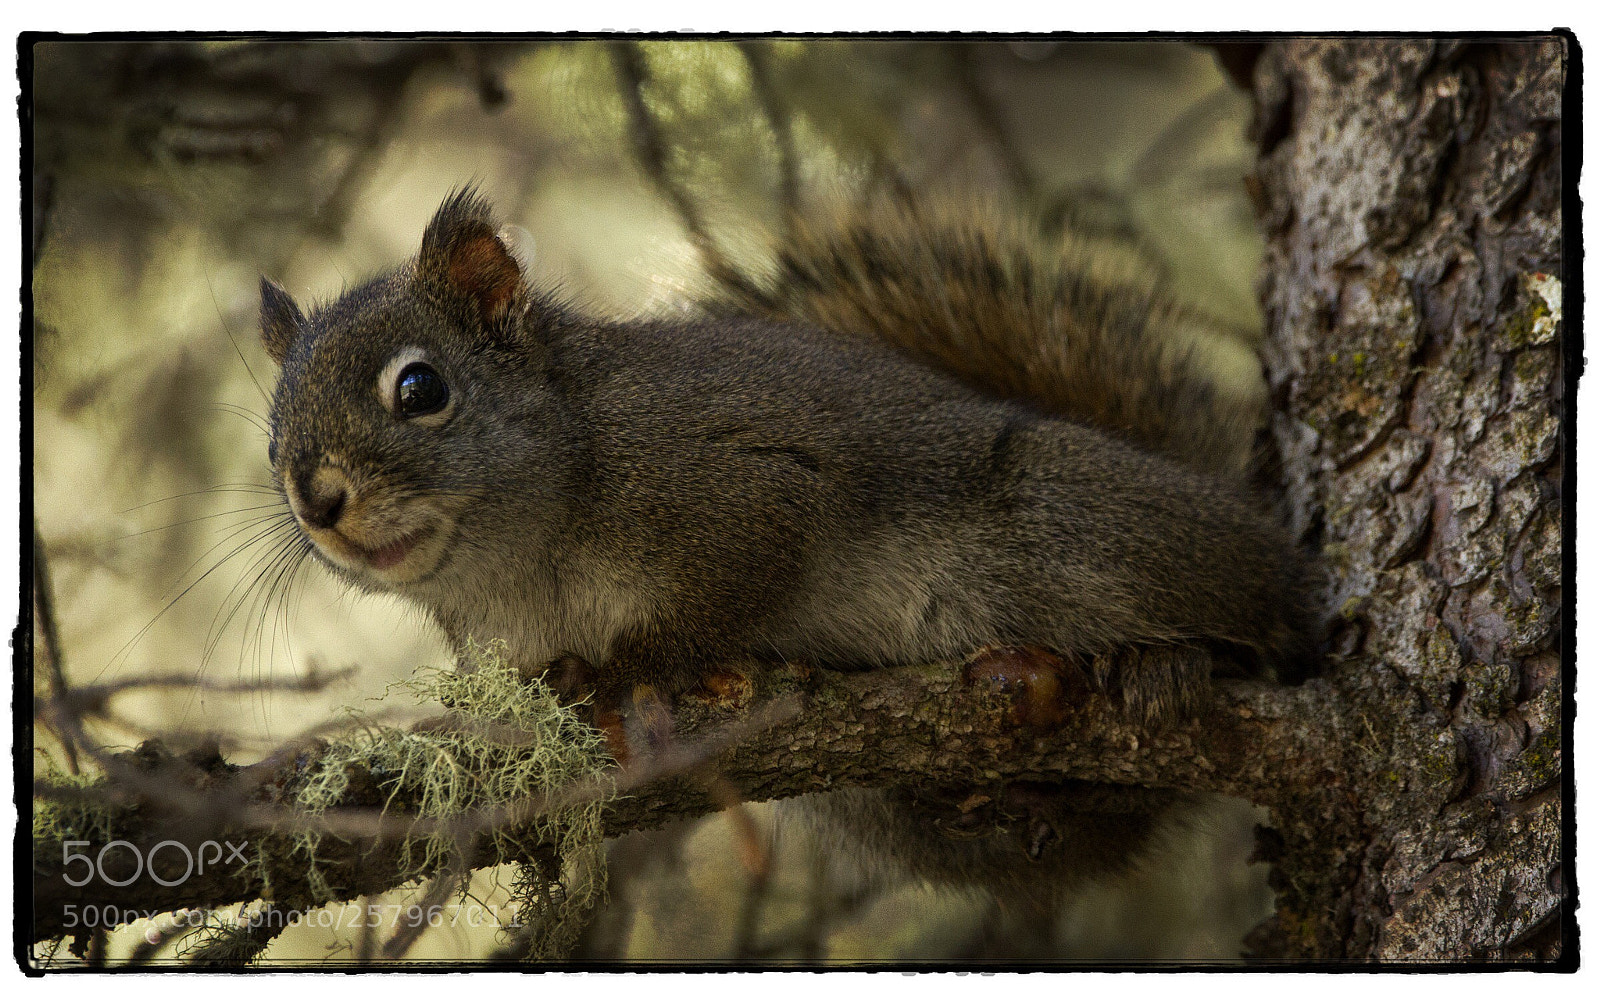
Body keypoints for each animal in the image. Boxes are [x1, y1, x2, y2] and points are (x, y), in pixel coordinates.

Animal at [259, 189, 1313, 921]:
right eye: (271, 439)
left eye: (421, 388)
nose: (317, 500)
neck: (521, 558)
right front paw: (567, 683)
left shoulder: (748, 489)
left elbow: (721, 595)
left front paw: (629, 669)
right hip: (870, 801)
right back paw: (1003, 797)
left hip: (1074, 525)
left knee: (1249, 620)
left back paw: (1169, 664)